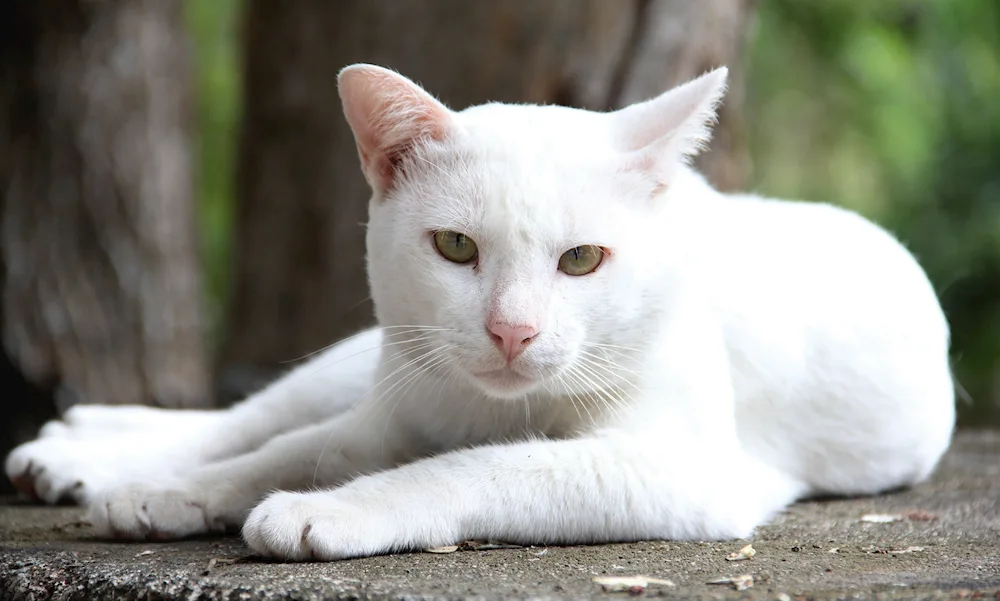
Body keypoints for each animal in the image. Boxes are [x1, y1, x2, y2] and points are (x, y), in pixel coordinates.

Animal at [5, 63, 952, 560]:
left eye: (582, 260)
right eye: (456, 247)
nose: (511, 330)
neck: (486, 406)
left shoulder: (680, 468)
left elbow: (477, 468)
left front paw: (329, 510)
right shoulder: (388, 414)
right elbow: (286, 449)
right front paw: (180, 493)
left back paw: (81, 451)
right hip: (372, 359)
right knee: (255, 414)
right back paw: (94, 450)